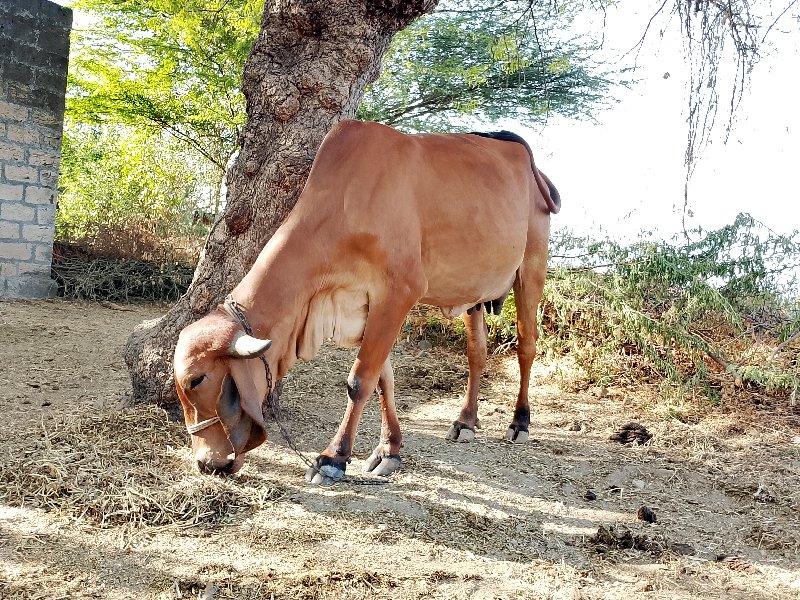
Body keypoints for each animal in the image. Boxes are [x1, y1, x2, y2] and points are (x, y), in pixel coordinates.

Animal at [172, 120, 560, 482]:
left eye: (197, 380)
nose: (205, 462)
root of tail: (534, 170)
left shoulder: (398, 293)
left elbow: (360, 380)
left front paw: (333, 458)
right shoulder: (368, 305)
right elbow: (383, 379)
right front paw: (389, 450)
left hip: (532, 265)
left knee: (527, 344)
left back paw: (520, 422)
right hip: (473, 293)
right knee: (476, 352)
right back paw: (465, 421)